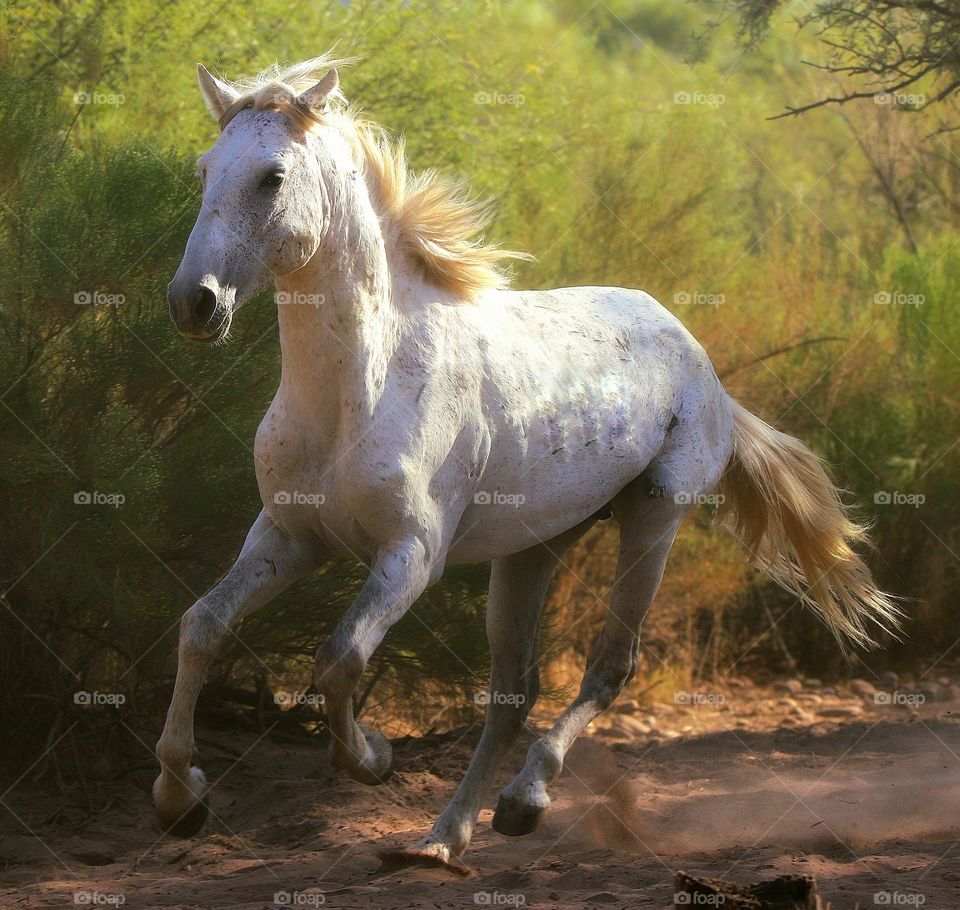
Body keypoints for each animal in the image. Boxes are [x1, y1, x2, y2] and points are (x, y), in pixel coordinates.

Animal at [156, 52, 900, 874]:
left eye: (272, 177)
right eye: (203, 169)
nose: (194, 302)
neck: (360, 390)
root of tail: (701, 363)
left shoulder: (411, 554)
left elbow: (340, 658)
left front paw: (374, 756)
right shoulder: (289, 538)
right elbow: (201, 626)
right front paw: (180, 799)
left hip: (655, 518)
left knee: (608, 667)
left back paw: (523, 801)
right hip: (533, 550)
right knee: (514, 690)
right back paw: (443, 838)